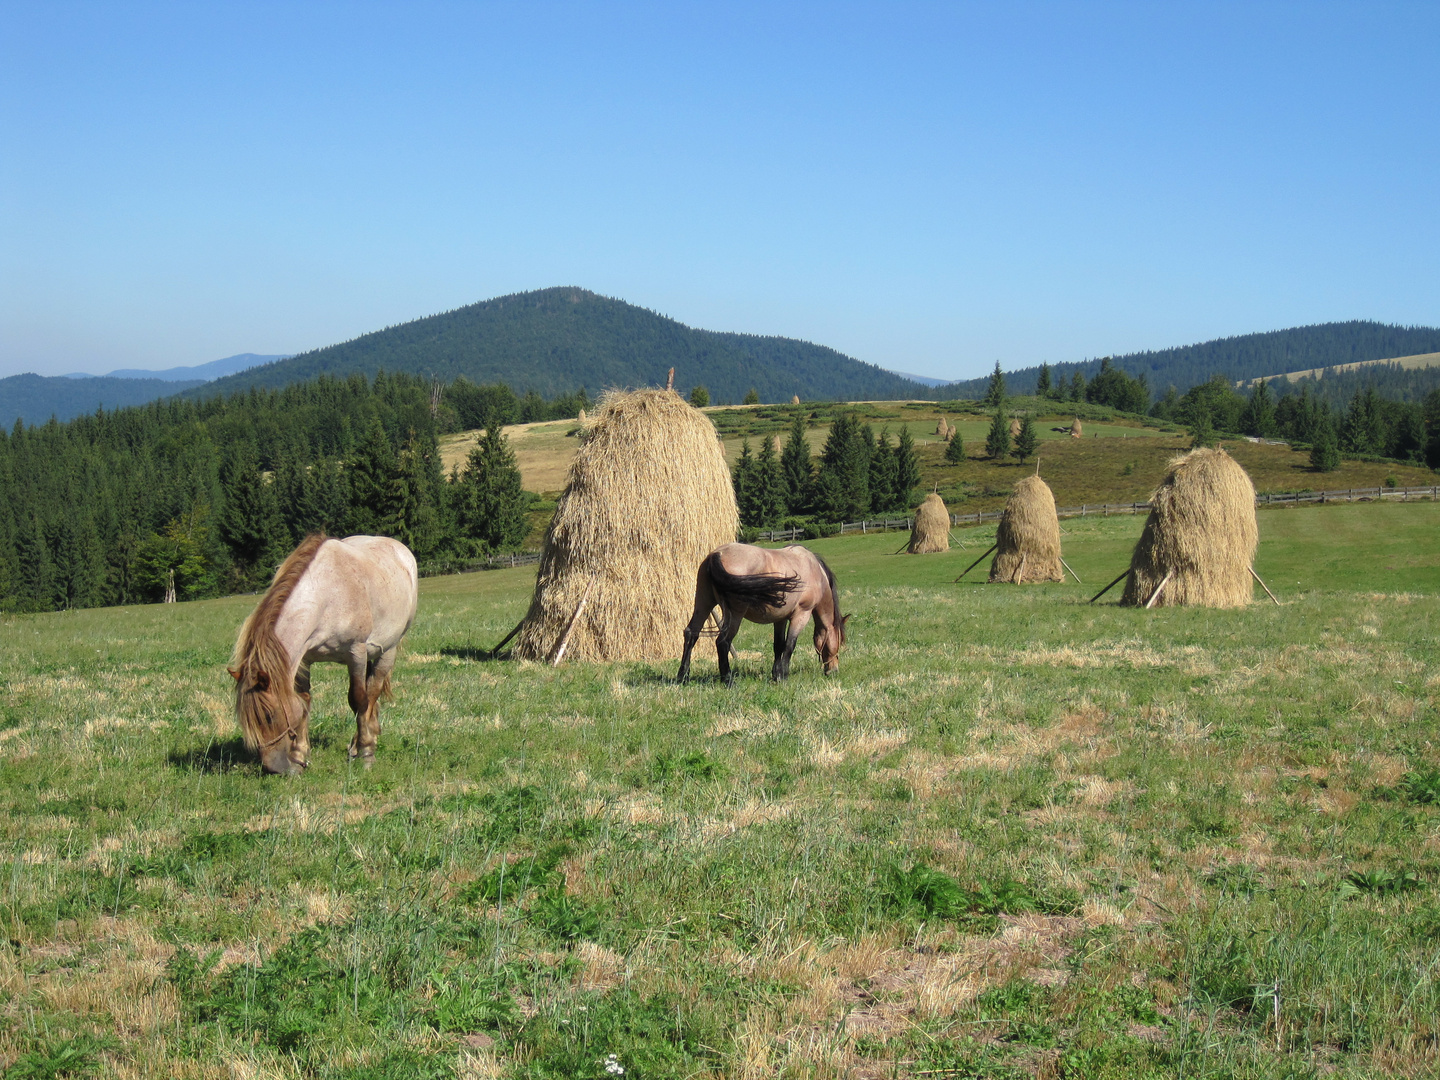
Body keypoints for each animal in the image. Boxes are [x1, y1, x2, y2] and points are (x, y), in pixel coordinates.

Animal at [224, 535, 417, 771]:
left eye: (269, 716)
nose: (274, 768)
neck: (327, 596)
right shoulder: (304, 659)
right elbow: (304, 702)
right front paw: (299, 754)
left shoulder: (356, 652)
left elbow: (359, 700)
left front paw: (366, 752)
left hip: (387, 649)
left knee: (372, 692)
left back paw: (364, 743)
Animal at [679, 541, 846, 685]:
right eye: (838, 644)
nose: (834, 671)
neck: (813, 569)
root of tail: (717, 554)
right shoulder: (801, 615)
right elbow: (790, 645)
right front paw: (784, 676)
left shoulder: (780, 618)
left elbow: (779, 645)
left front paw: (776, 674)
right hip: (735, 615)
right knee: (722, 642)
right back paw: (729, 680)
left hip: (704, 603)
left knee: (691, 633)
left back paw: (683, 677)